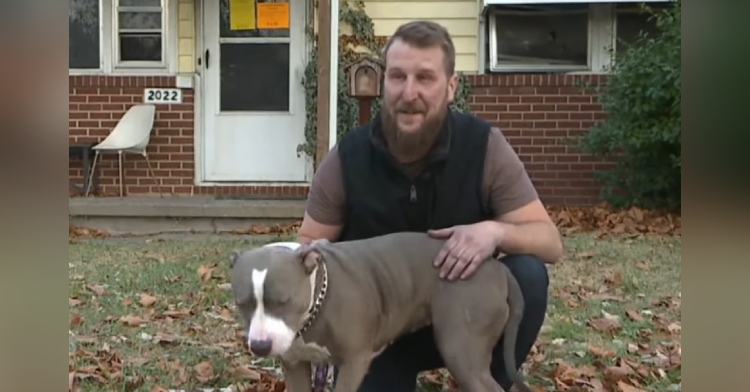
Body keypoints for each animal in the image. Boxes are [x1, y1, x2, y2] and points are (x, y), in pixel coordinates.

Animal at [229, 231, 536, 392]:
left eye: (283, 301)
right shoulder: (295, 366)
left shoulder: (354, 362)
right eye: (242, 303)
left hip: (462, 350)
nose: (259, 346)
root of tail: (496, 266)